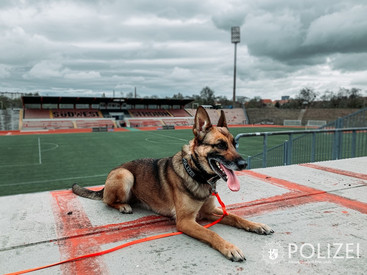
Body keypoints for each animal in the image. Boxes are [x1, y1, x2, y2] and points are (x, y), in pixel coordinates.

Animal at [72, 106, 274, 262]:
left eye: (234, 144)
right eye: (220, 145)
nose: (243, 164)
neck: (196, 174)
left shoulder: (209, 212)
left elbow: (234, 216)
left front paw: (256, 225)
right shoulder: (185, 221)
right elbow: (211, 233)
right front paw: (229, 247)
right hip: (125, 175)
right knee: (107, 201)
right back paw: (123, 206)